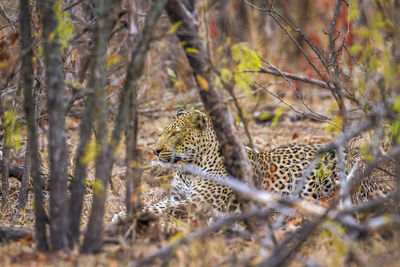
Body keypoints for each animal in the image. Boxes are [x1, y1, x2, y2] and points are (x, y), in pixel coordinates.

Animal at [143, 108, 390, 219]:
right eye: (163, 132)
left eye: (174, 134)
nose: (155, 150)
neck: (187, 169)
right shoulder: (178, 196)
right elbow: (158, 205)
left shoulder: (199, 202)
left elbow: (161, 210)